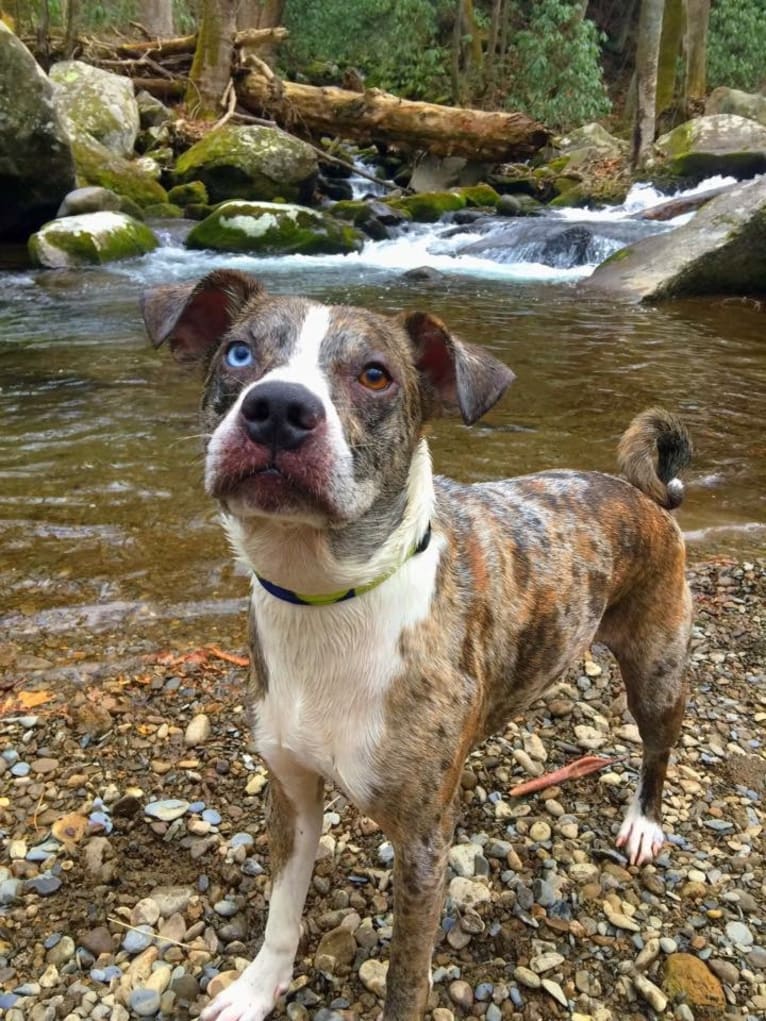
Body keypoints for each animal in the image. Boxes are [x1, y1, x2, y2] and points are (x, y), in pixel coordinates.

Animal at [140, 269, 694, 1021]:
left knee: (657, 749)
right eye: (238, 353)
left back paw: (644, 822)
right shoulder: (292, 795)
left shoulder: (424, 847)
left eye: (375, 375)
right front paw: (257, 989)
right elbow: (281, 912)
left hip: (659, 668)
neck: (326, 597)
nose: (278, 407)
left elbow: (406, 976)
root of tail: (641, 493)